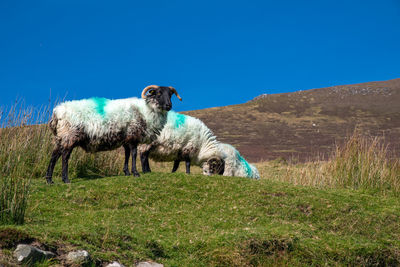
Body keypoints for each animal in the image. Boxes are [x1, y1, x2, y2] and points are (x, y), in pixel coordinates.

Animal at [44, 85, 181, 184]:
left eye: (170, 94)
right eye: (158, 93)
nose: (169, 105)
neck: (146, 110)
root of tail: (57, 112)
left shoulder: (126, 138)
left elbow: (127, 154)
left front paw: (126, 172)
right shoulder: (133, 134)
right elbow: (134, 154)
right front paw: (135, 173)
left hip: (61, 137)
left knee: (54, 155)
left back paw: (49, 180)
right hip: (70, 135)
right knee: (65, 156)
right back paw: (65, 179)